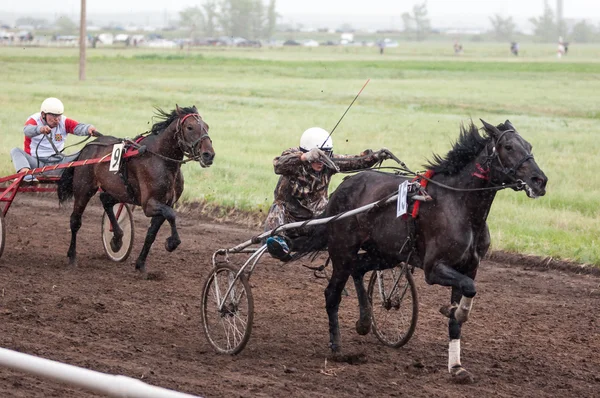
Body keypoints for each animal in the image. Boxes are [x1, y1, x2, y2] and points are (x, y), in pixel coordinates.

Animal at [56, 104, 216, 276]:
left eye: (207, 126)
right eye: (190, 127)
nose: (209, 155)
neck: (160, 158)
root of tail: (89, 146)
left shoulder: (166, 202)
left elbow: (152, 233)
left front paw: (140, 264)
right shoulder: (149, 204)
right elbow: (172, 215)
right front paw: (172, 242)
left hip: (120, 191)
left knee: (105, 200)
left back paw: (117, 238)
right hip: (84, 189)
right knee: (75, 220)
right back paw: (72, 256)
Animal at [292, 120, 548, 382]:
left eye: (529, 146)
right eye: (508, 147)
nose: (540, 181)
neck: (460, 207)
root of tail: (344, 186)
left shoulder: (469, 267)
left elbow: (462, 305)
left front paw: (456, 366)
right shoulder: (433, 269)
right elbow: (468, 290)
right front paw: (454, 311)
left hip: (385, 254)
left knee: (359, 269)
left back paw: (364, 321)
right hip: (343, 250)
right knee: (332, 293)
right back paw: (337, 347)